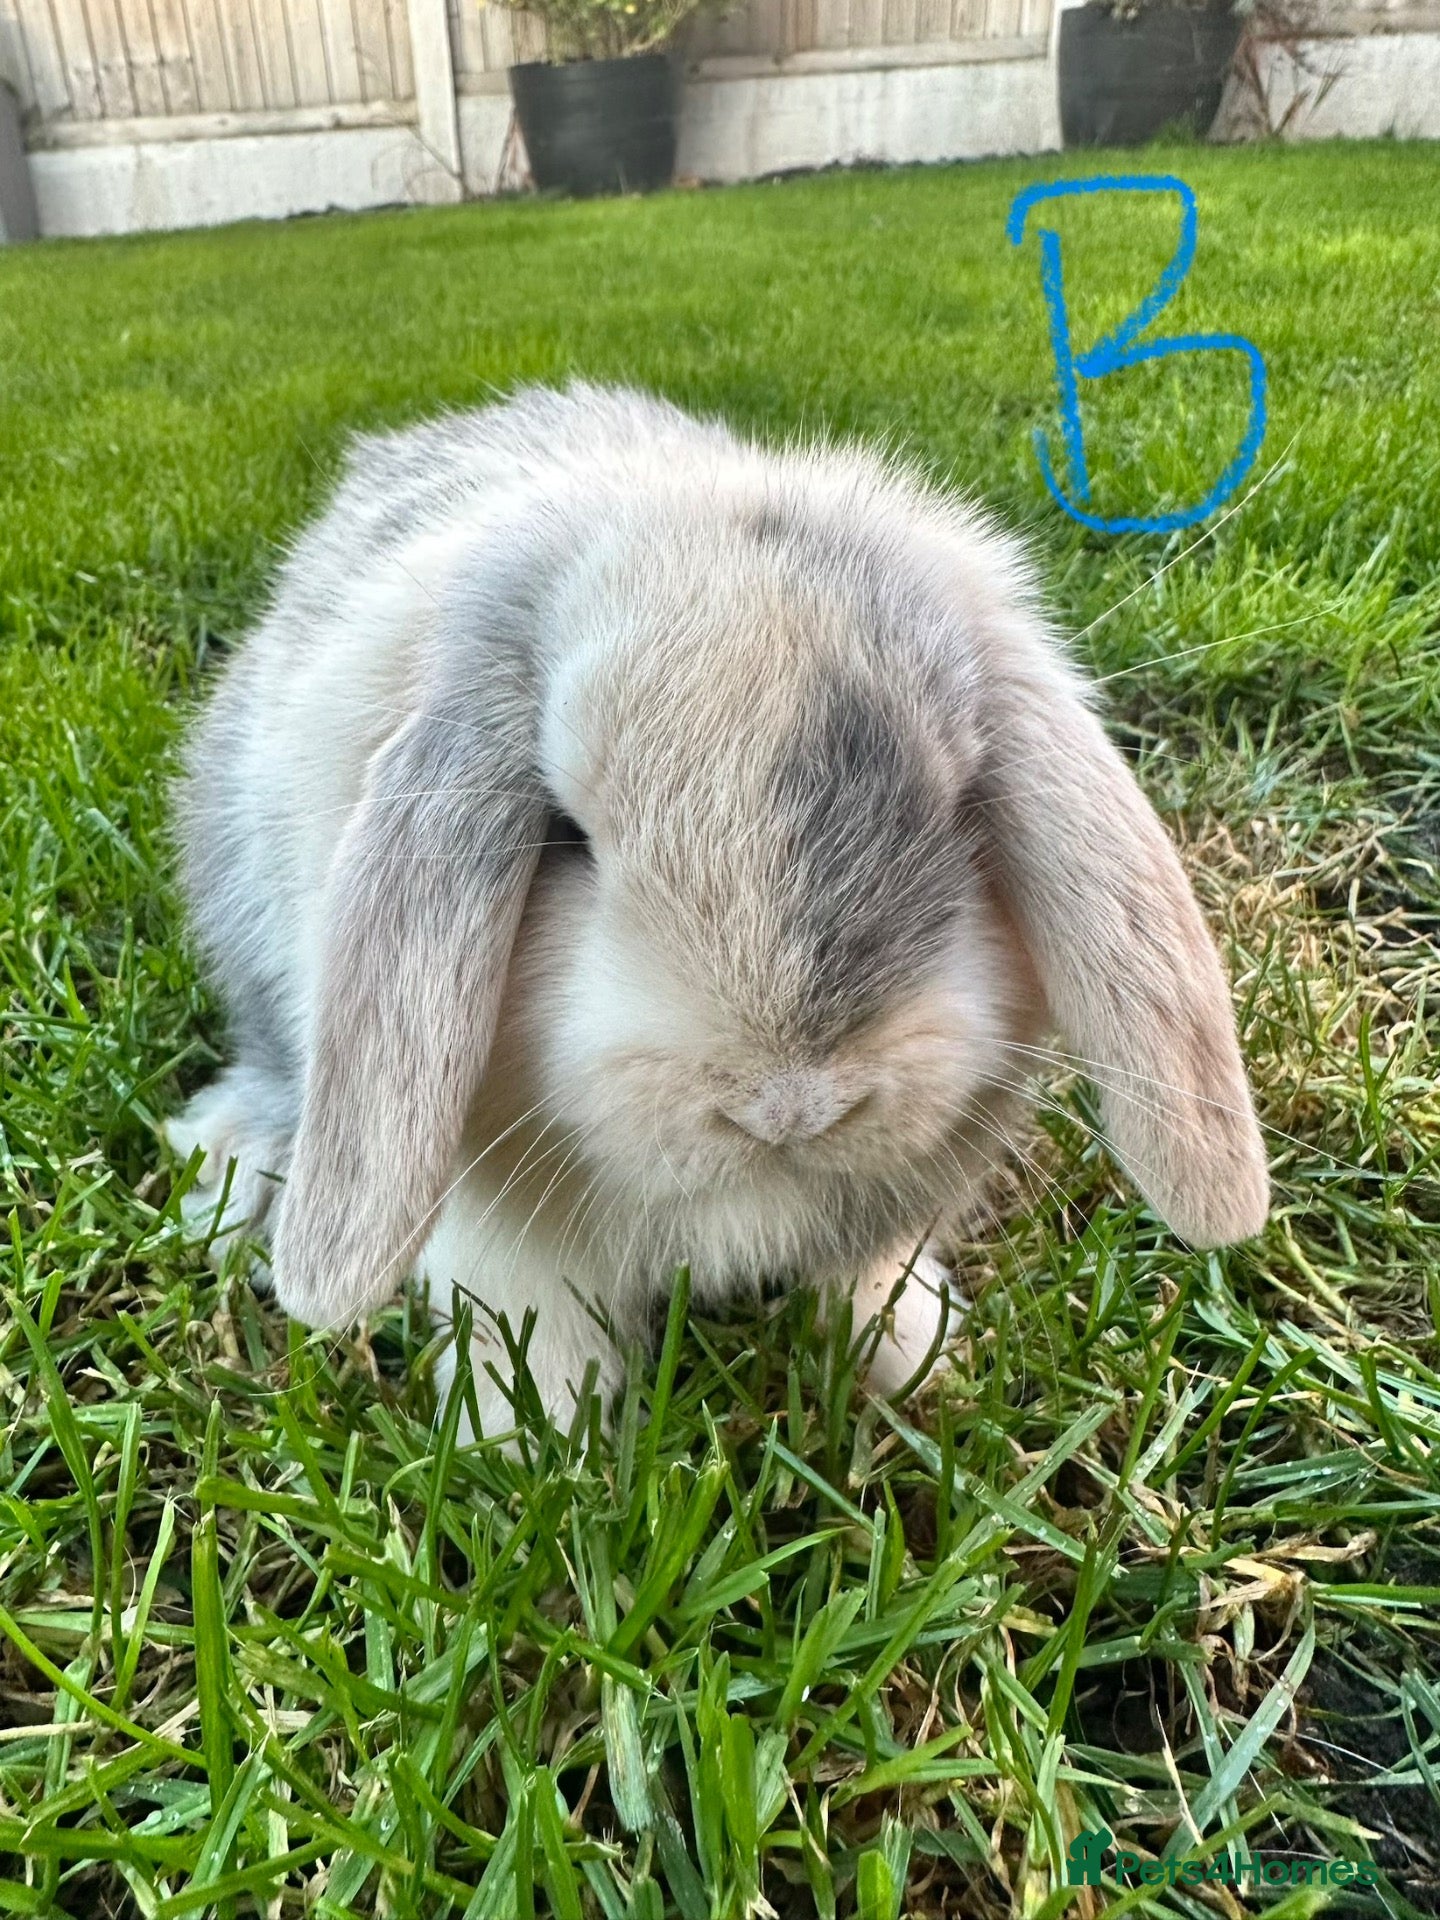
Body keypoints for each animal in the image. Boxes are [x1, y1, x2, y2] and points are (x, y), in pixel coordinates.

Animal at [168, 382, 1269, 1437]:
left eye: (959, 804)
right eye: (566, 834)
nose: (788, 1107)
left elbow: (865, 1278)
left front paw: (916, 1363)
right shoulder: (496, 1234)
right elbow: (534, 1331)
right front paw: (530, 1446)